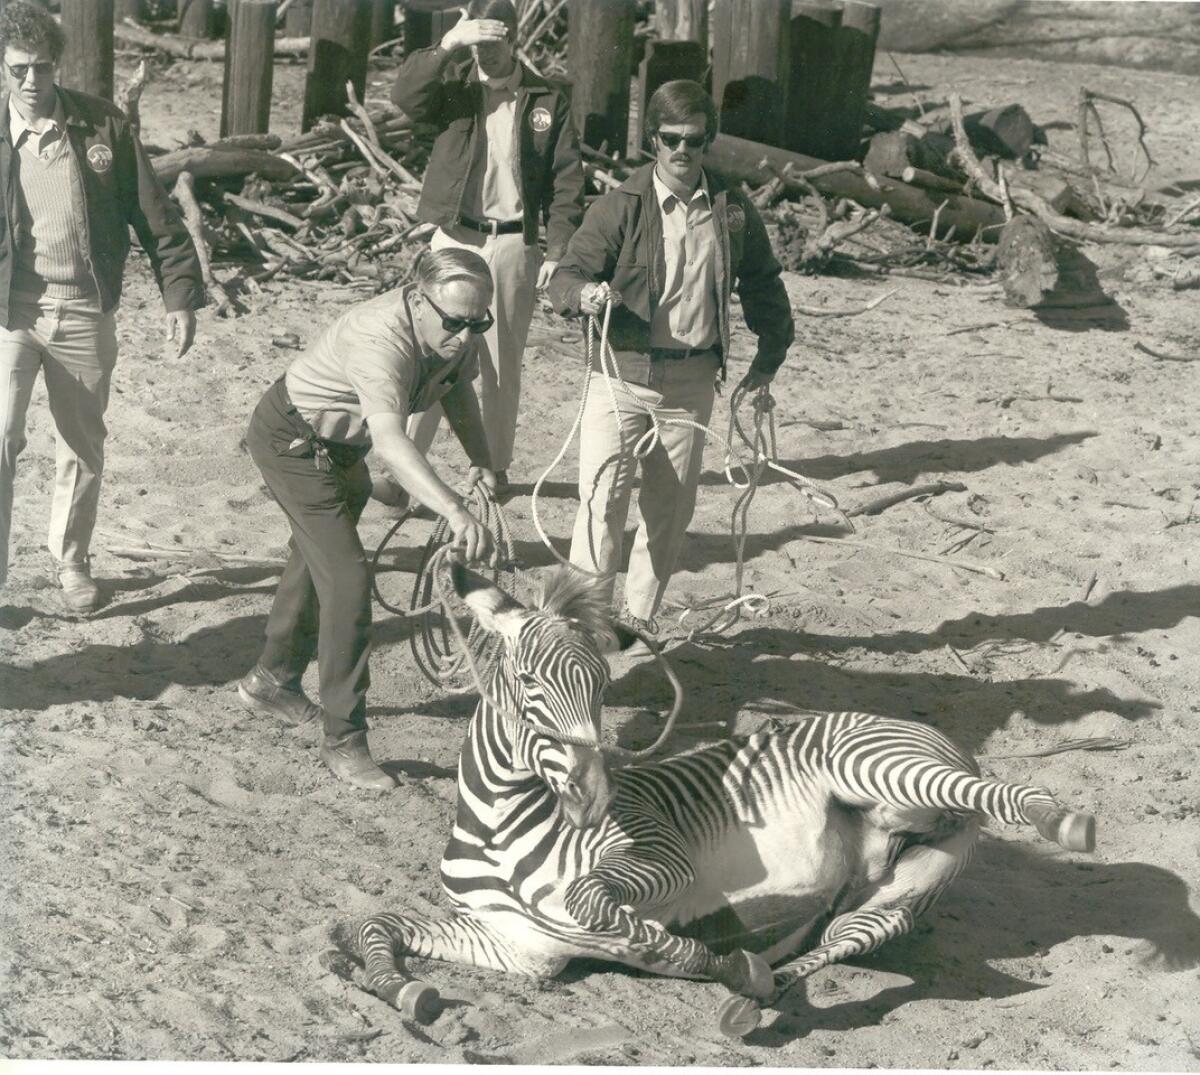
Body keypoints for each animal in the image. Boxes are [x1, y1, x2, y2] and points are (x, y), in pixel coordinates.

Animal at [355, 566, 1099, 1036]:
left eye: (602, 687)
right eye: (531, 682)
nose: (594, 799)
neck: (500, 829)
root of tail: (926, 728)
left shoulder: (658, 856)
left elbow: (597, 904)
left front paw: (696, 954)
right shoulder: (520, 945)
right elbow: (373, 925)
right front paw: (402, 988)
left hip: (879, 769)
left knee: (1003, 792)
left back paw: (1062, 820)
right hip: (902, 882)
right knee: (842, 939)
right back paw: (755, 998)